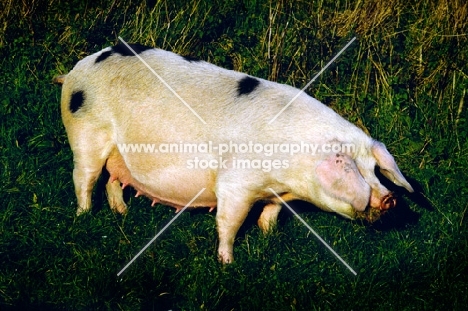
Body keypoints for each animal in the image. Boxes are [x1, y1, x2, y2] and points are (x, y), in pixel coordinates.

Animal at [55, 42, 414, 264]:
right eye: (353, 169)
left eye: (375, 170)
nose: (391, 198)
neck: (291, 175)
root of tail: (76, 69)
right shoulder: (236, 183)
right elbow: (230, 221)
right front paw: (227, 262)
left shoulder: (276, 193)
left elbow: (271, 214)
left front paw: (269, 239)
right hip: (85, 132)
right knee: (84, 177)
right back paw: (84, 216)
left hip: (118, 152)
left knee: (113, 178)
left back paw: (122, 213)